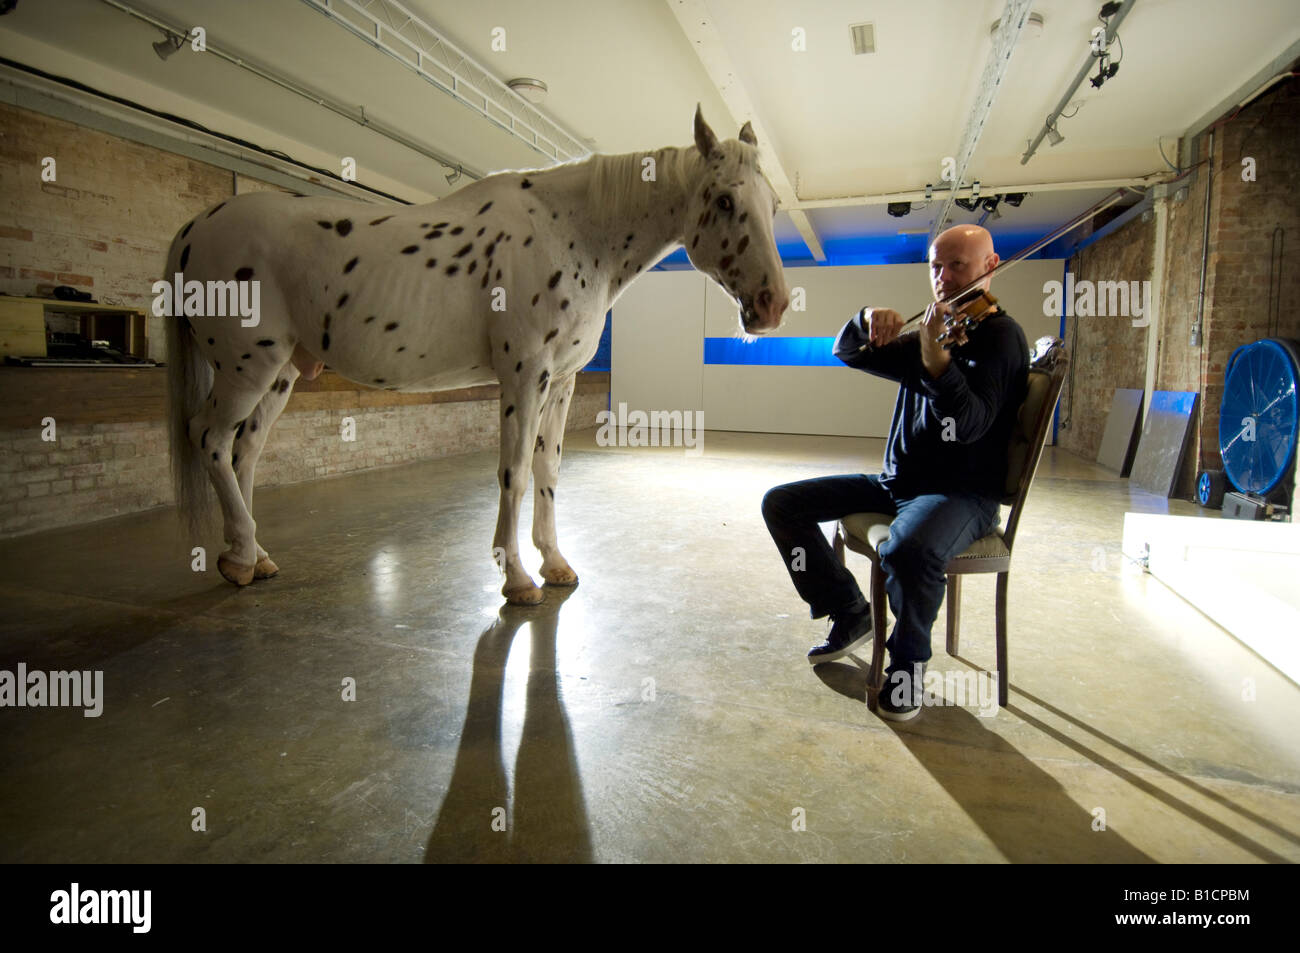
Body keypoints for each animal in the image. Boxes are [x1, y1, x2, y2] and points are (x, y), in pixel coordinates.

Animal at [162, 107, 790, 603]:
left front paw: (554, 563)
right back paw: (240, 557)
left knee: (244, 452)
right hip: (247, 369)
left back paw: (252, 556)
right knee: (210, 439)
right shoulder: (525, 376)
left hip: (281, 373)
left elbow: (547, 469)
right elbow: (513, 472)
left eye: (775, 204)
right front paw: (517, 579)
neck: (575, 230)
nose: (774, 304)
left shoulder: (562, 382)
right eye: (726, 199)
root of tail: (195, 226)